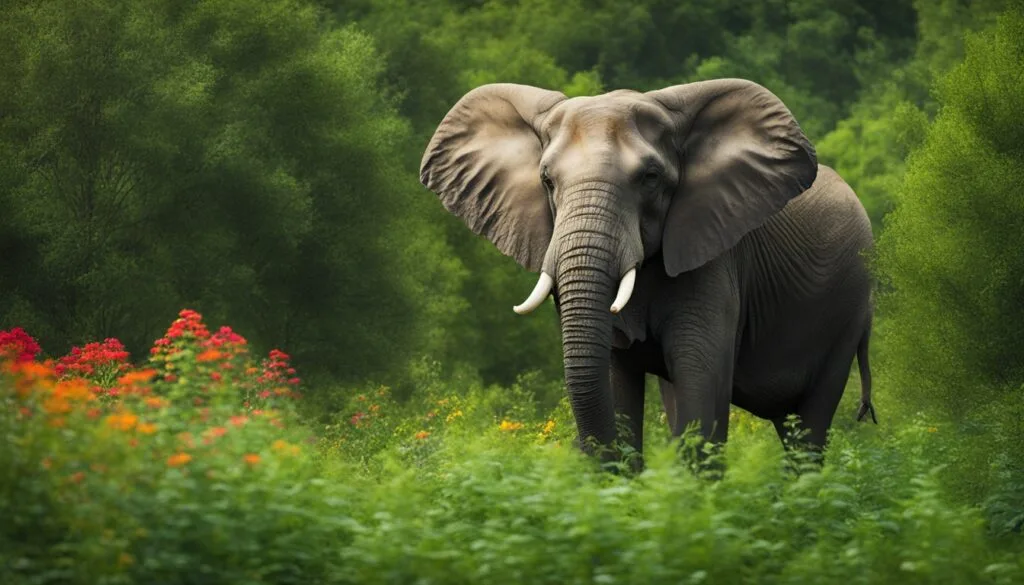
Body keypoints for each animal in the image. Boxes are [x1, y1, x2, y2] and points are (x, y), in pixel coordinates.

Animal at [419, 79, 876, 466]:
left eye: (651, 178)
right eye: (547, 181)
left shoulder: (714, 258)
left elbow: (701, 395)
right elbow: (613, 380)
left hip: (849, 308)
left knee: (810, 427)